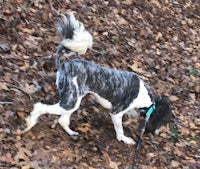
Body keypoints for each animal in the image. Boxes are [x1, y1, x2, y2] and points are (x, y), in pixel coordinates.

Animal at [23, 13, 170, 144]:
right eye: (162, 121)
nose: (158, 133)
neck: (144, 97)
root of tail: (63, 65)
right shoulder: (116, 113)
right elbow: (120, 130)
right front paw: (125, 139)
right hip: (71, 101)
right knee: (40, 107)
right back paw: (30, 123)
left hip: (73, 101)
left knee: (62, 120)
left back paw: (71, 132)